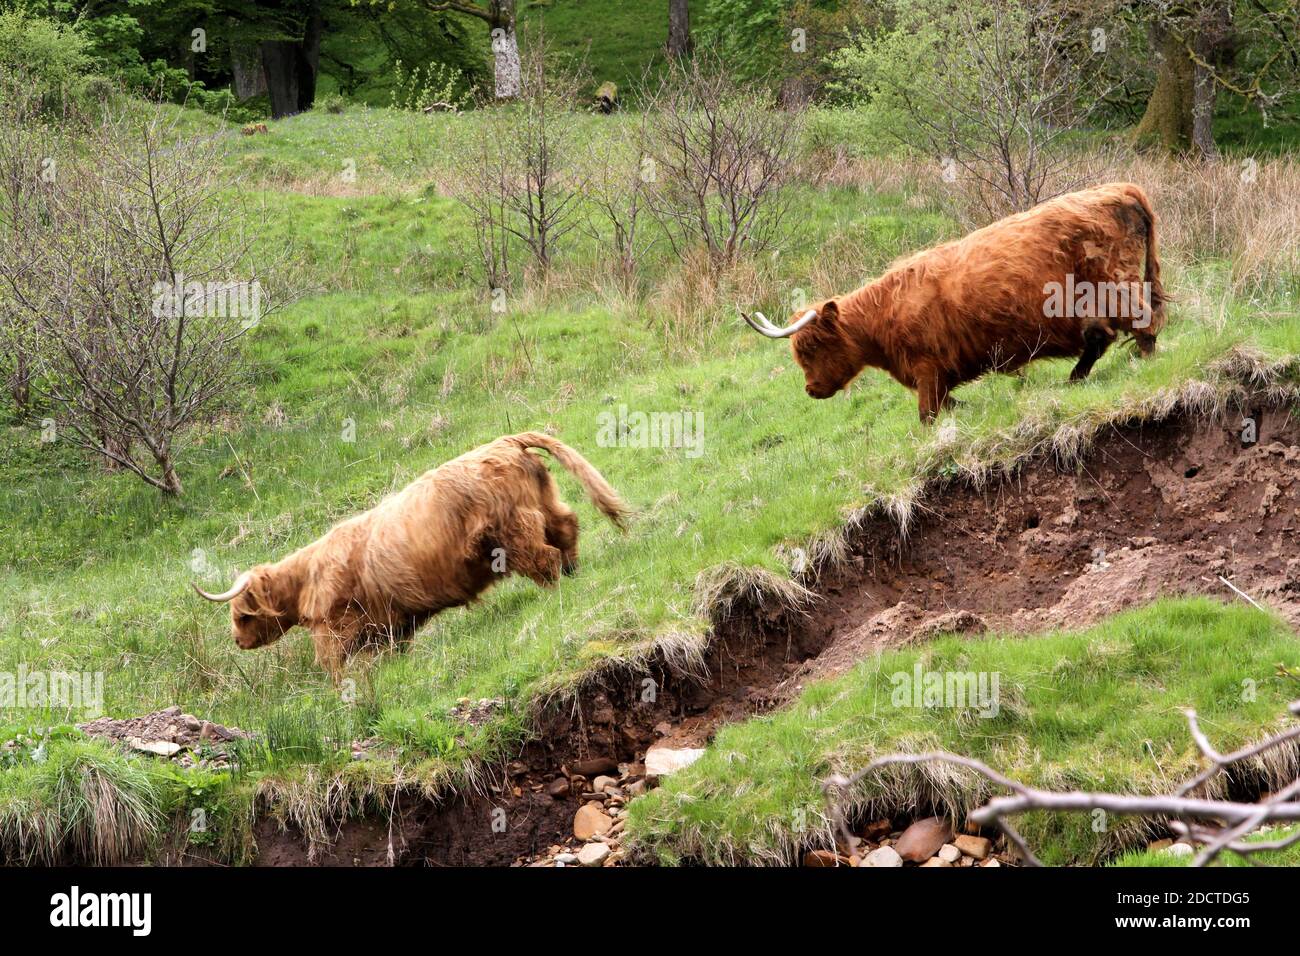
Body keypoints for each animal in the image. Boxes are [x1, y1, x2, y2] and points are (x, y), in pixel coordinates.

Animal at [191, 434, 629, 681]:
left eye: (241, 615)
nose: (238, 641)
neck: (305, 579)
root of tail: (505, 442)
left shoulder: (334, 627)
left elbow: (331, 664)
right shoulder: (391, 624)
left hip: (512, 531)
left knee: (543, 557)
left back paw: (557, 592)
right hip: (542, 505)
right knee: (566, 528)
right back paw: (575, 573)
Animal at [743, 183, 1170, 421]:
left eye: (813, 347)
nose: (811, 389)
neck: (884, 316)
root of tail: (1120, 188)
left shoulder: (927, 368)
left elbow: (927, 416)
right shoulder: (938, 376)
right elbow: (946, 407)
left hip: (1117, 285)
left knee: (1141, 323)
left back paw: (1143, 363)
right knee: (1101, 337)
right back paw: (1075, 379)